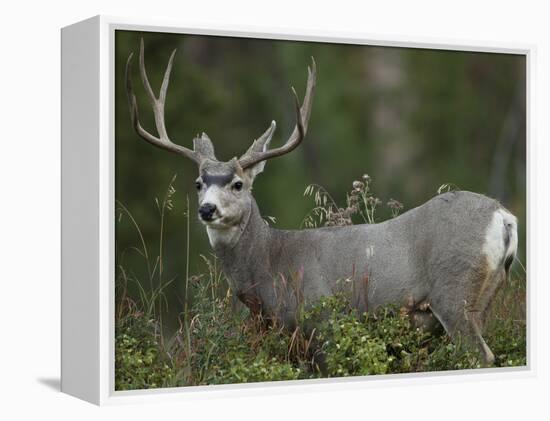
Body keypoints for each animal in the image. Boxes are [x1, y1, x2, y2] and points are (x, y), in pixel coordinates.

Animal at [126, 40, 520, 364]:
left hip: (454, 292)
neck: (270, 264)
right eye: (198, 183)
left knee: (482, 355)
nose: (207, 209)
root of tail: (504, 217)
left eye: (237, 184)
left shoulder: (320, 320)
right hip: (484, 295)